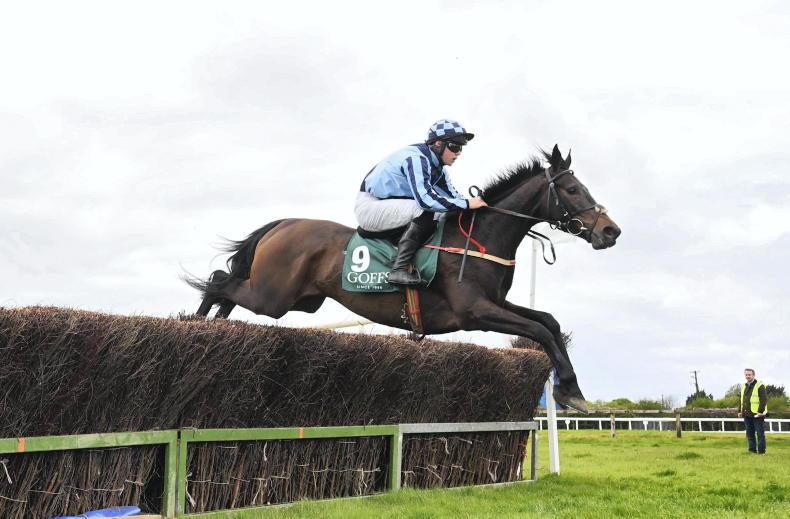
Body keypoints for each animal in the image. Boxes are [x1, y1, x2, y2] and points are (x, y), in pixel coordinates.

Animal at [186, 145, 621, 412]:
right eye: (572, 189)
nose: (610, 231)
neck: (479, 236)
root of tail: (284, 224)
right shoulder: (475, 312)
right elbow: (541, 330)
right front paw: (570, 391)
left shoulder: (495, 303)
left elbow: (549, 321)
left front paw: (572, 391)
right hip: (273, 297)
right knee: (219, 279)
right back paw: (196, 325)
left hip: (296, 300)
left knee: (227, 286)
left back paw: (217, 325)